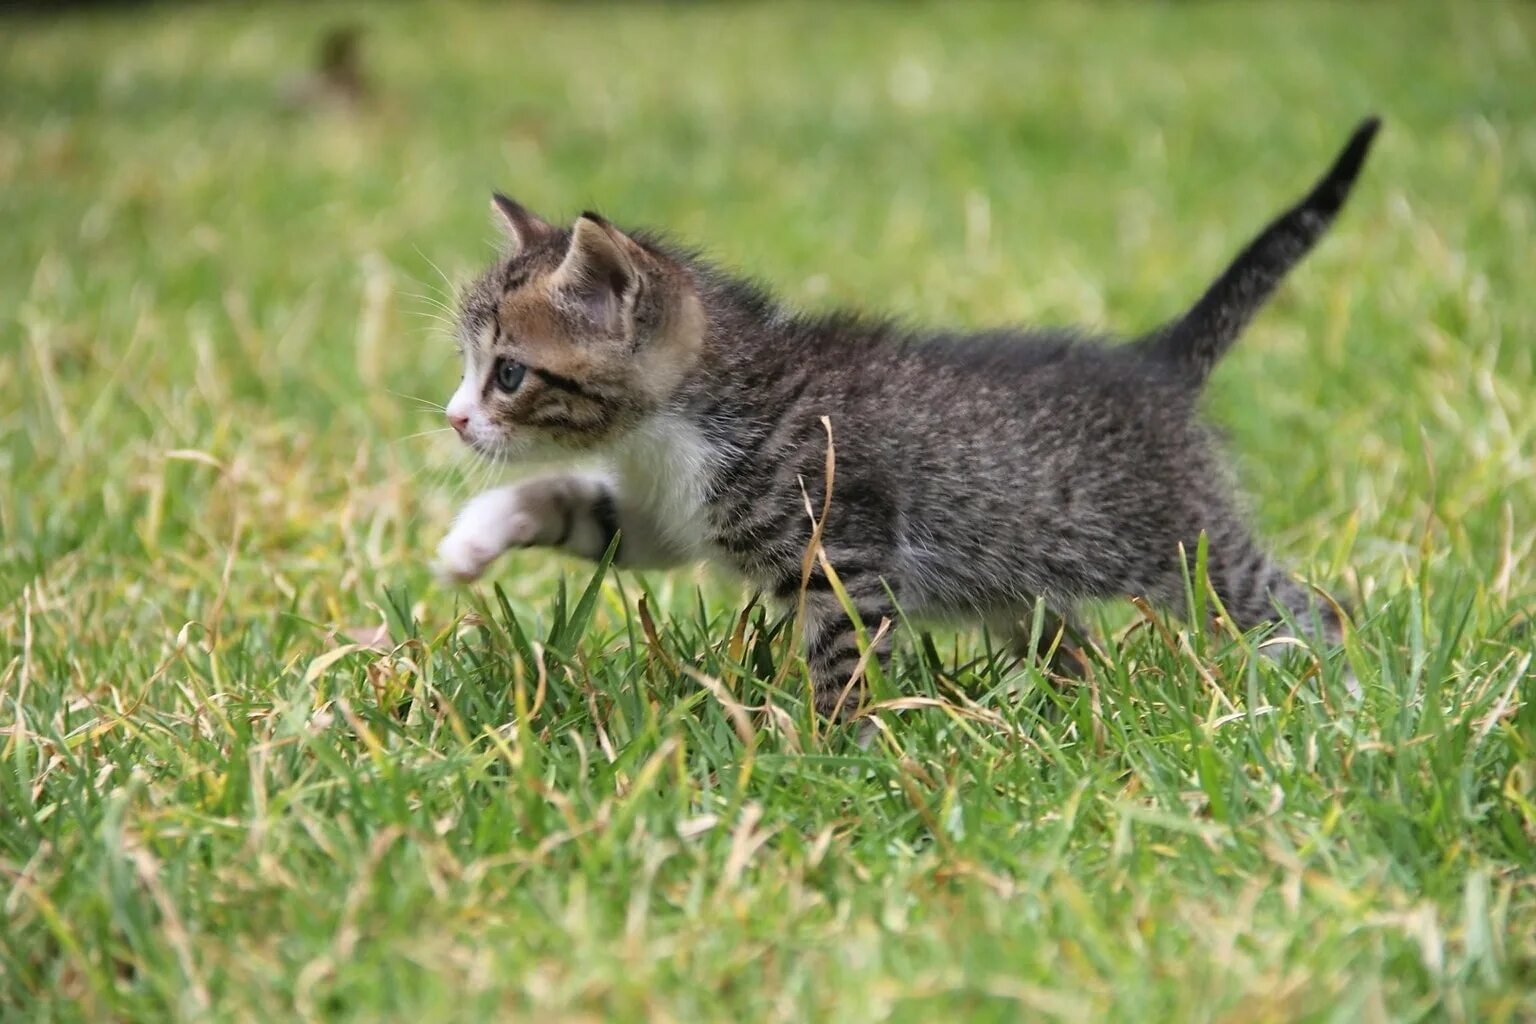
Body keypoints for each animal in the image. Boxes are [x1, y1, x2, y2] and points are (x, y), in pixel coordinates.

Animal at [433, 115, 1382, 718]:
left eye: (508, 374)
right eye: (469, 367)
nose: (453, 420)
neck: (687, 420)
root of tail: (1155, 362)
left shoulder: (842, 558)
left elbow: (844, 666)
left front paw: (830, 759)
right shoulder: (670, 517)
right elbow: (574, 505)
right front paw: (474, 538)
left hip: (1188, 549)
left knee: (1304, 606)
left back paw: (1335, 693)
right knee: (1073, 645)